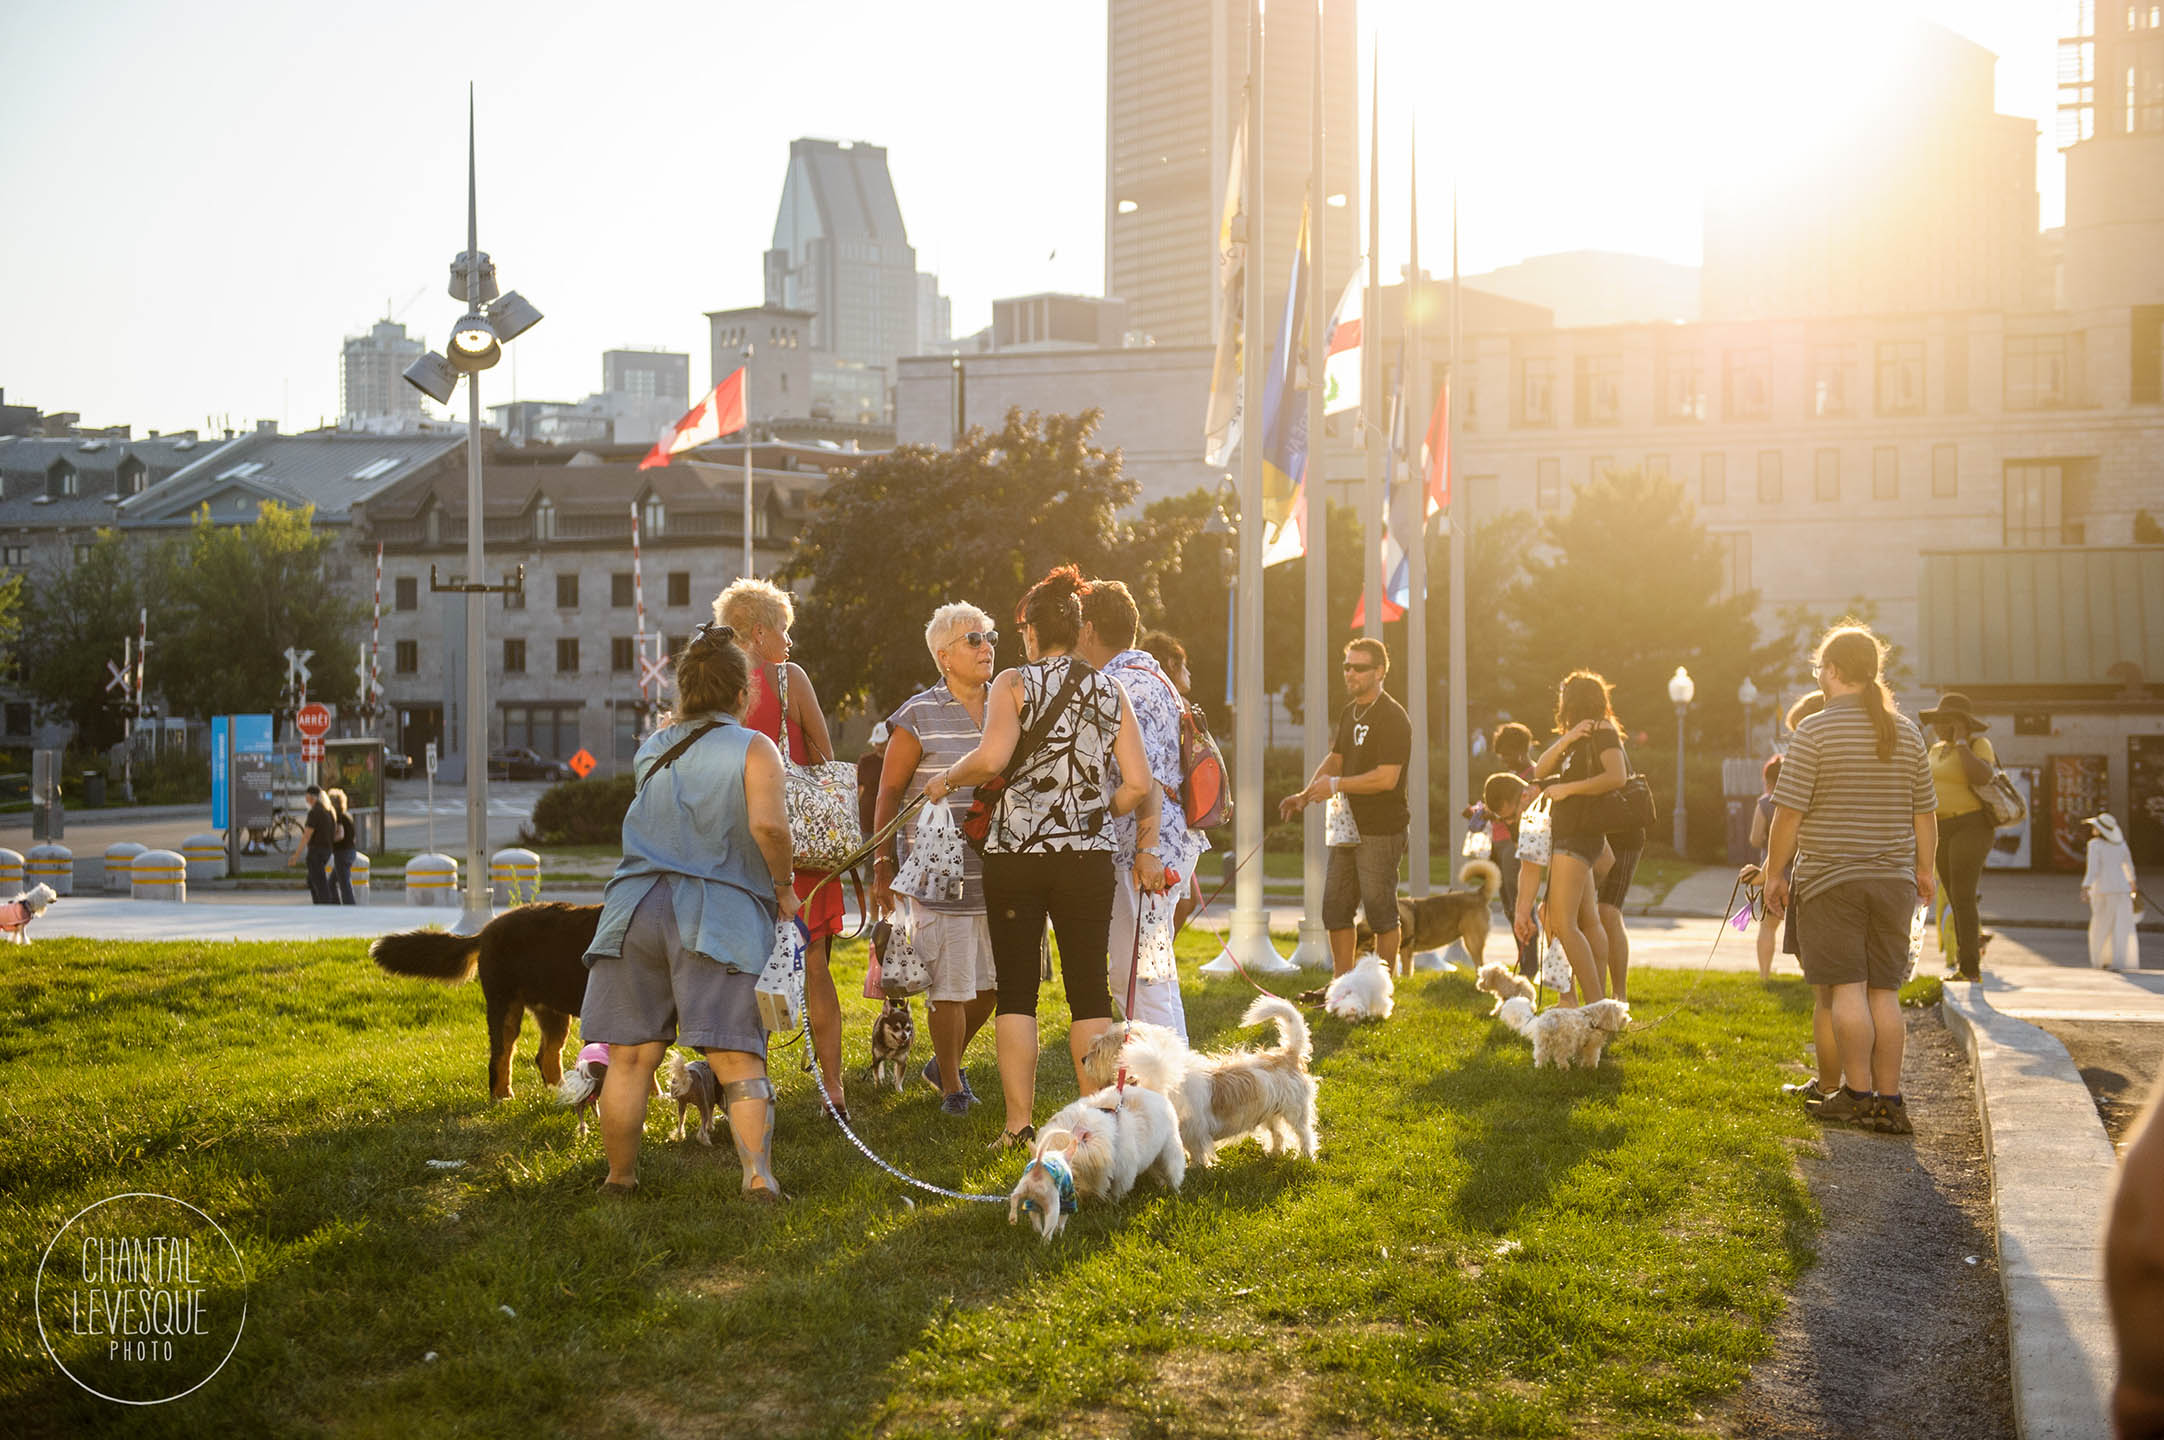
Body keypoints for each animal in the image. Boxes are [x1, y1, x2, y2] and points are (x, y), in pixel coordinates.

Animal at [367, 905, 597, 1095]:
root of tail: (486, 930)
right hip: (504, 1005)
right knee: (501, 1056)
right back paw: (503, 1097)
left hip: (552, 1010)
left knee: (547, 1056)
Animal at [1030, 1078, 1185, 1203]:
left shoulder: (1123, 1171)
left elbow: (1117, 1189)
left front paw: (1111, 1202)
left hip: (1171, 1148)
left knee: (1174, 1169)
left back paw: (1174, 1190)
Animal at [1077, 1000, 1315, 1169]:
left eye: (1099, 1050)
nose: (1083, 1059)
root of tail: (1288, 1054)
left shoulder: (1194, 1131)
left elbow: (1197, 1152)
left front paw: (1196, 1170)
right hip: (1270, 1113)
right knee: (1278, 1134)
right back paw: (1274, 1153)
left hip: (1296, 1112)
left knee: (1304, 1134)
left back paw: (1306, 1157)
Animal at [1497, 987, 1627, 1065]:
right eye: (1622, 1014)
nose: (1628, 1019)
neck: (1594, 1018)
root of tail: (1546, 1020)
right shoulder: (1592, 1045)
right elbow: (1592, 1057)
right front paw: (1591, 1067)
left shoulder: (1581, 1044)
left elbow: (1579, 1056)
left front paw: (1580, 1064)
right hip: (1565, 1043)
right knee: (1560, 1057)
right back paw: (1564, 1068)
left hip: (1542, 1043)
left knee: (1540, 1055)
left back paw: (1541, 1067)